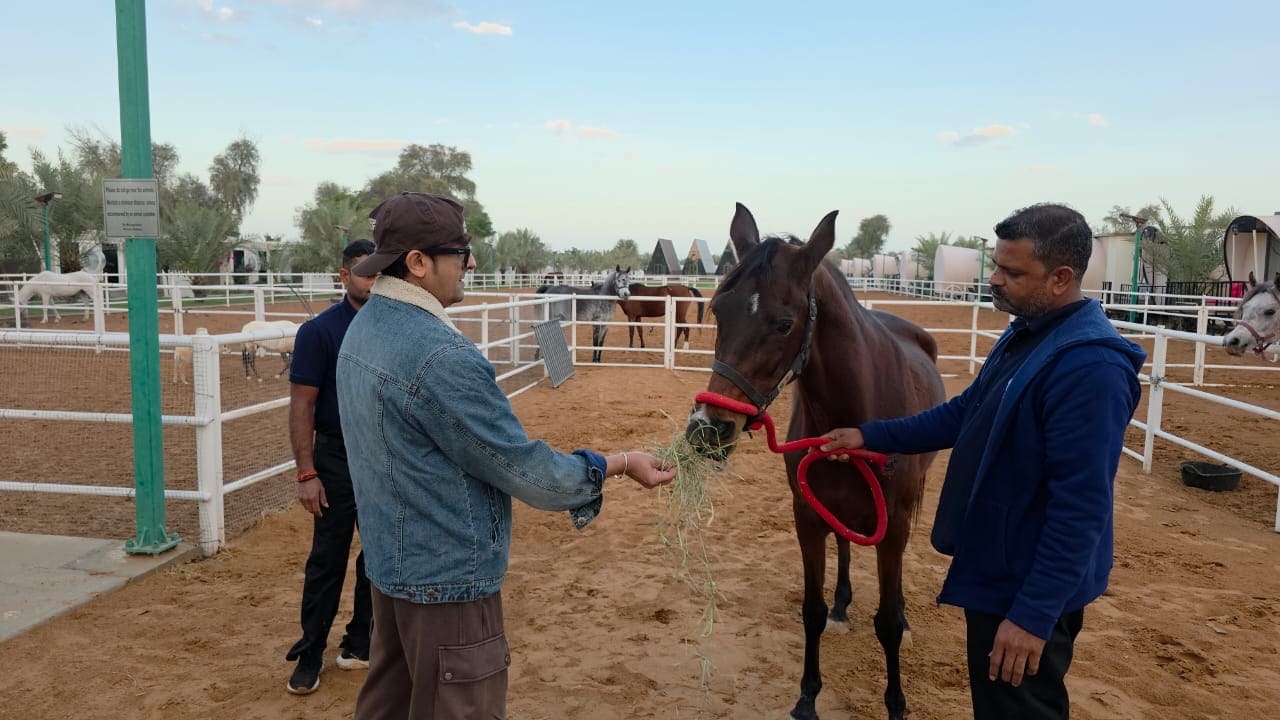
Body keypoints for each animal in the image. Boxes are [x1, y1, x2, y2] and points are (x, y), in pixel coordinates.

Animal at [684, 204, 945, 720]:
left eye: (785, 324)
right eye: (718, 309)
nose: (707, 428)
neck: (856, 410)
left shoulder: (894, 523)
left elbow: (887, 621)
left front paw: (896, 702)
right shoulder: (806, 514)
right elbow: (812, 610)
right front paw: (806, 697)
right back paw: (844, 606)